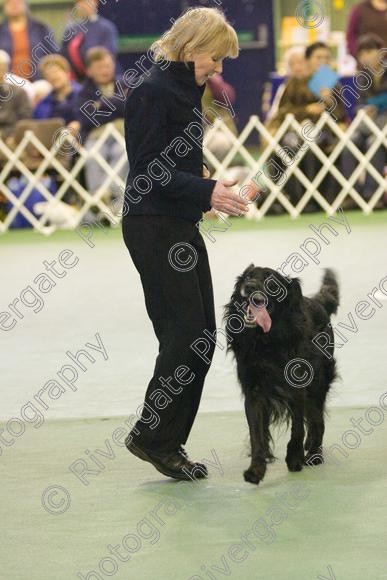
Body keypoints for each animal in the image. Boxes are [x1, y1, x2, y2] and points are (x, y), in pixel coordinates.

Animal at [224, 268, 340, 484]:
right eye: (247, 276)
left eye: (271, 281)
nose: (249, 286)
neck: (266, 339)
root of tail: (318, 302)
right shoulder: (253, 392)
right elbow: (256, 433)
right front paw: (256, 469)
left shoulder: (298, 387)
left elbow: (297, 428)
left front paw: (295, 458)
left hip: (318, 382)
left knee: (317, 419)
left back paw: (314, 454)